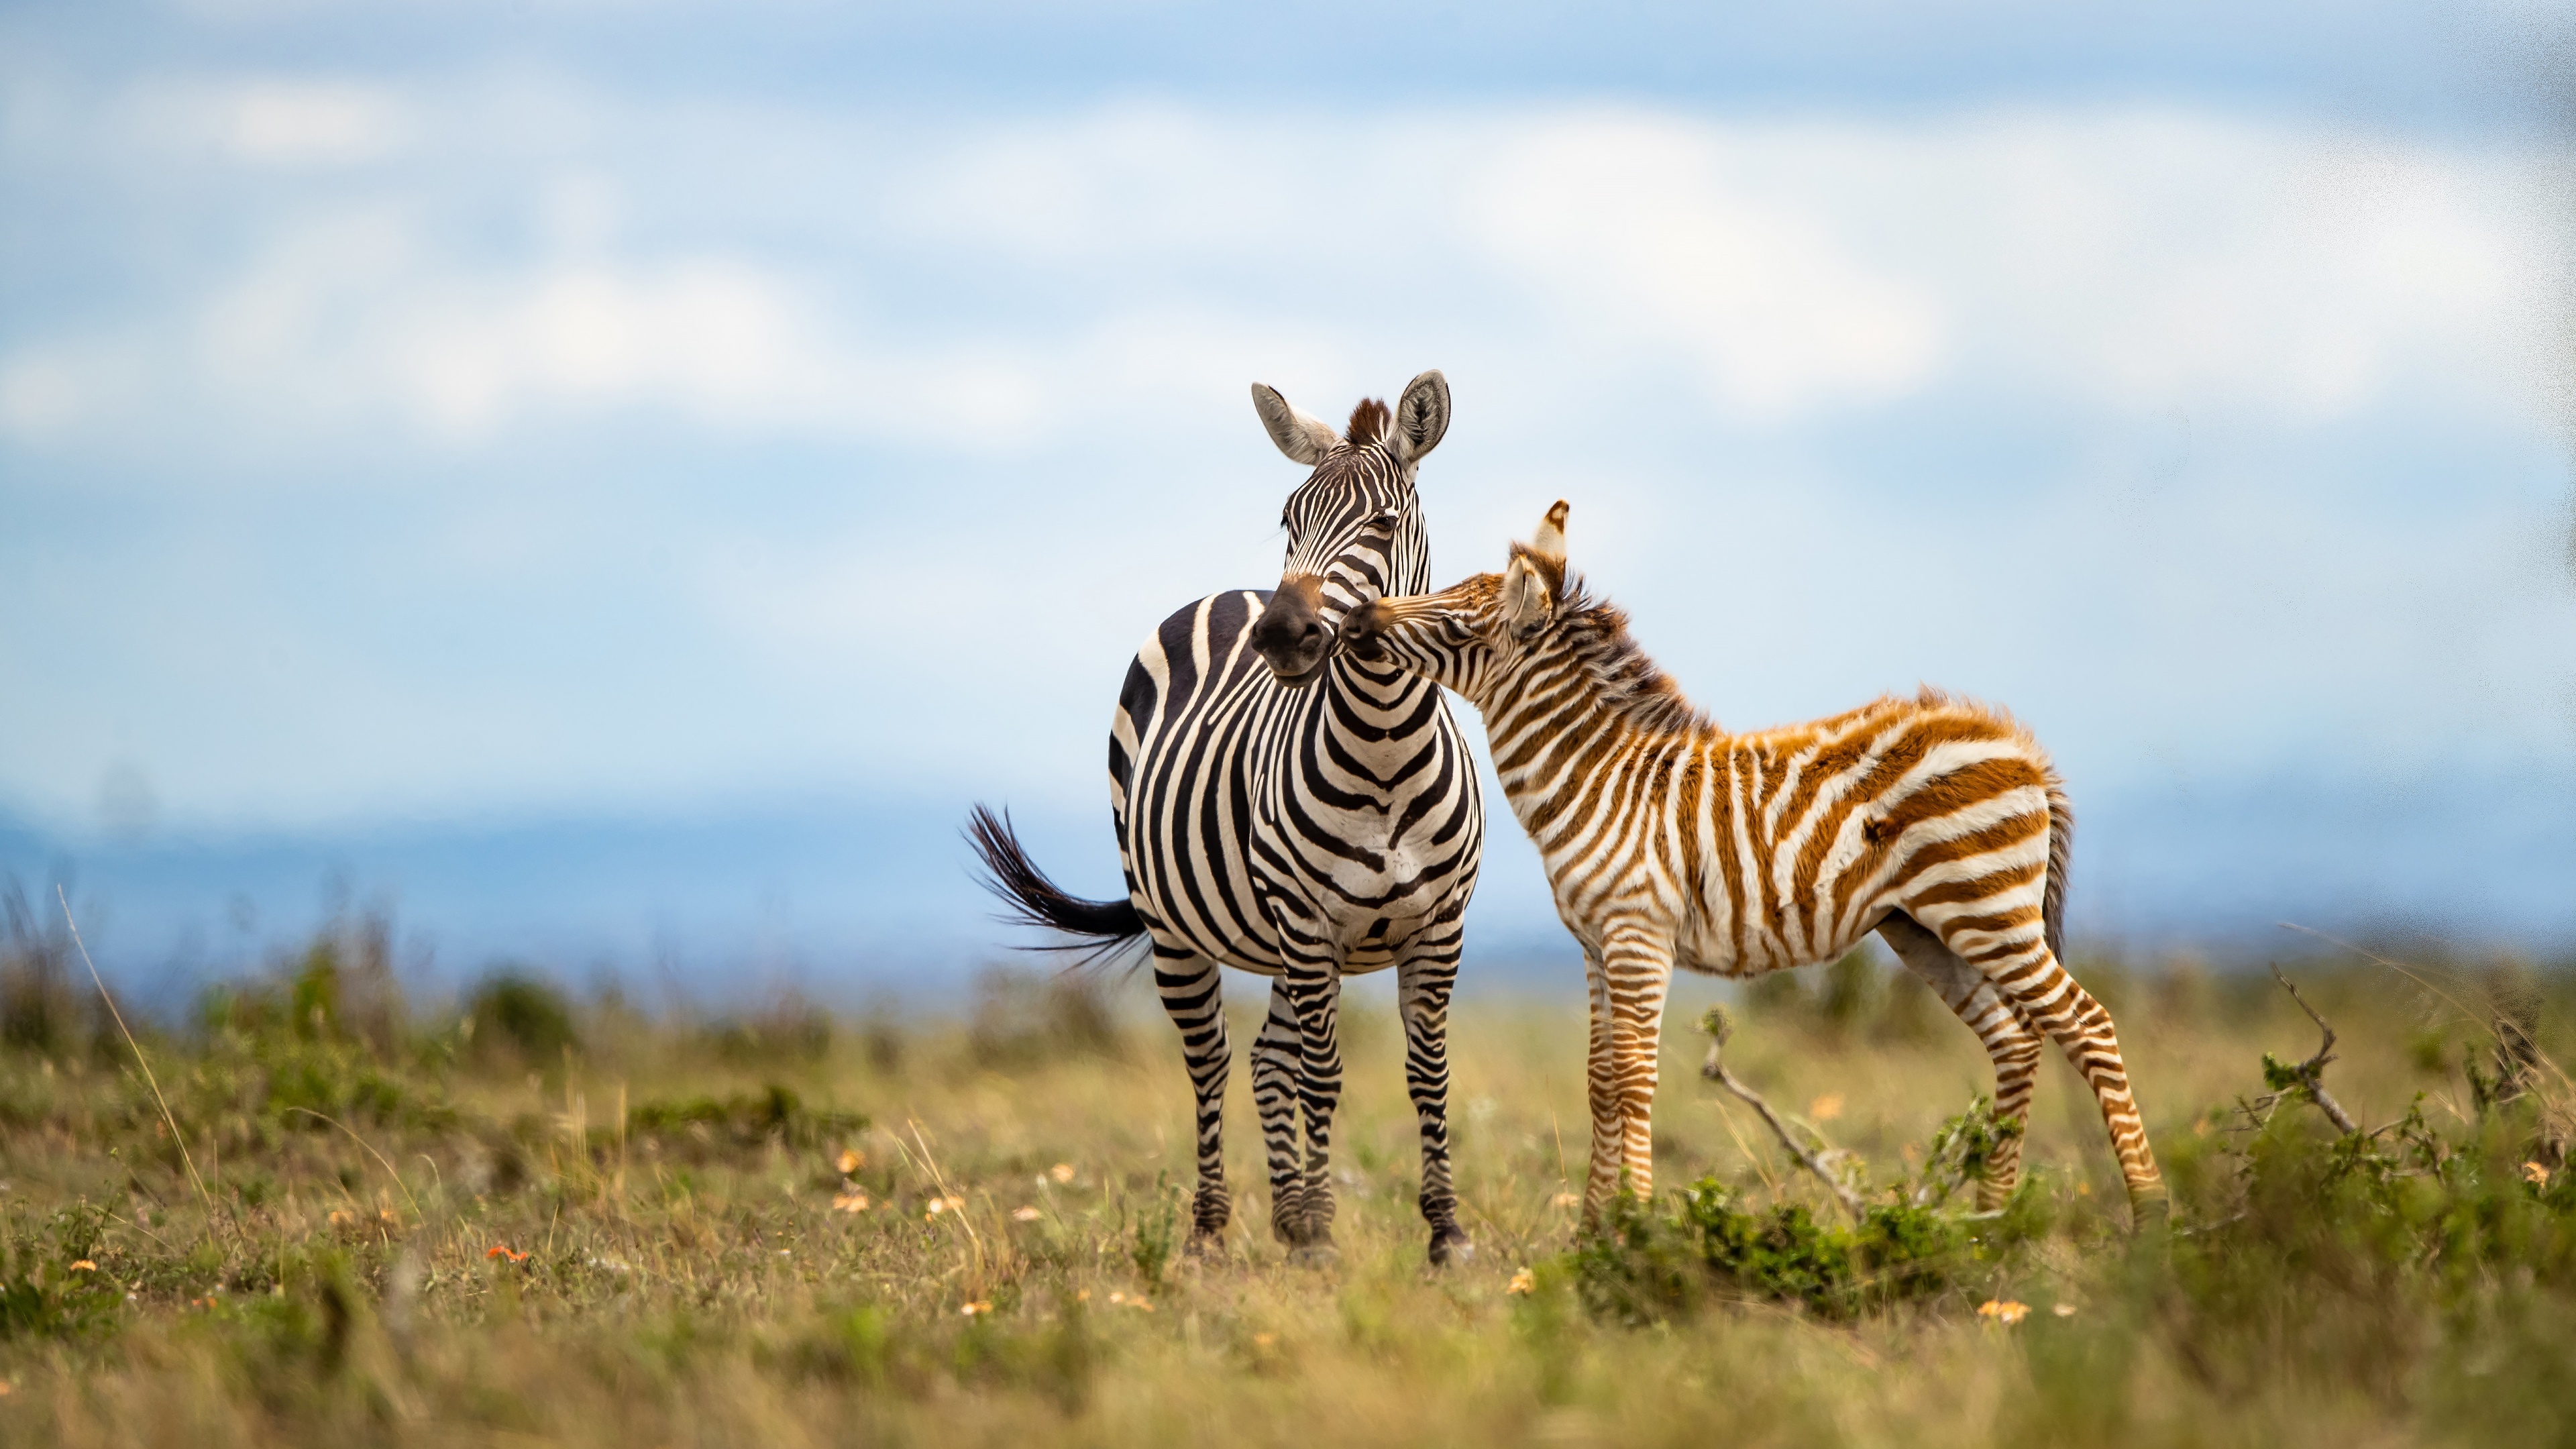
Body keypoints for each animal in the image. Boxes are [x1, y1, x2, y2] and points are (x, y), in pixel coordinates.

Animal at [968, 366, 1494, 1258]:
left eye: (1384, 524)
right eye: (1288, 519)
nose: (1281, 636)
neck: (1384, 747)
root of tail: (1229, 594)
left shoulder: (1439, 924)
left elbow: (1428, 1073)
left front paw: (1444, 1231)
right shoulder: (1309, 921)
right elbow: (1326, 1075)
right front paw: (1322, 1235)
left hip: (1282, 944)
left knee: (1263, 1060)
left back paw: (1284, 1216)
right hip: (1181, 929)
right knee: (1213, 1062)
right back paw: (1213, 1232)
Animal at [1350, 502, 2174, 1222]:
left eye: (1454, 621)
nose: (1358, 619)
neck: (1597, 775)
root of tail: (2024, 748)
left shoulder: (1637, 934)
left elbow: (1635, 1081)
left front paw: (1635, 1231)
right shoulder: (1594, 944)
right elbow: (1599, 1084)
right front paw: (1591, 1233)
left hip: (1988, 909)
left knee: (2089, 1026)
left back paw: (2150, 1216)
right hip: (1926, 926)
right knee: (2016, 1040)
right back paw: (1989, 1224)